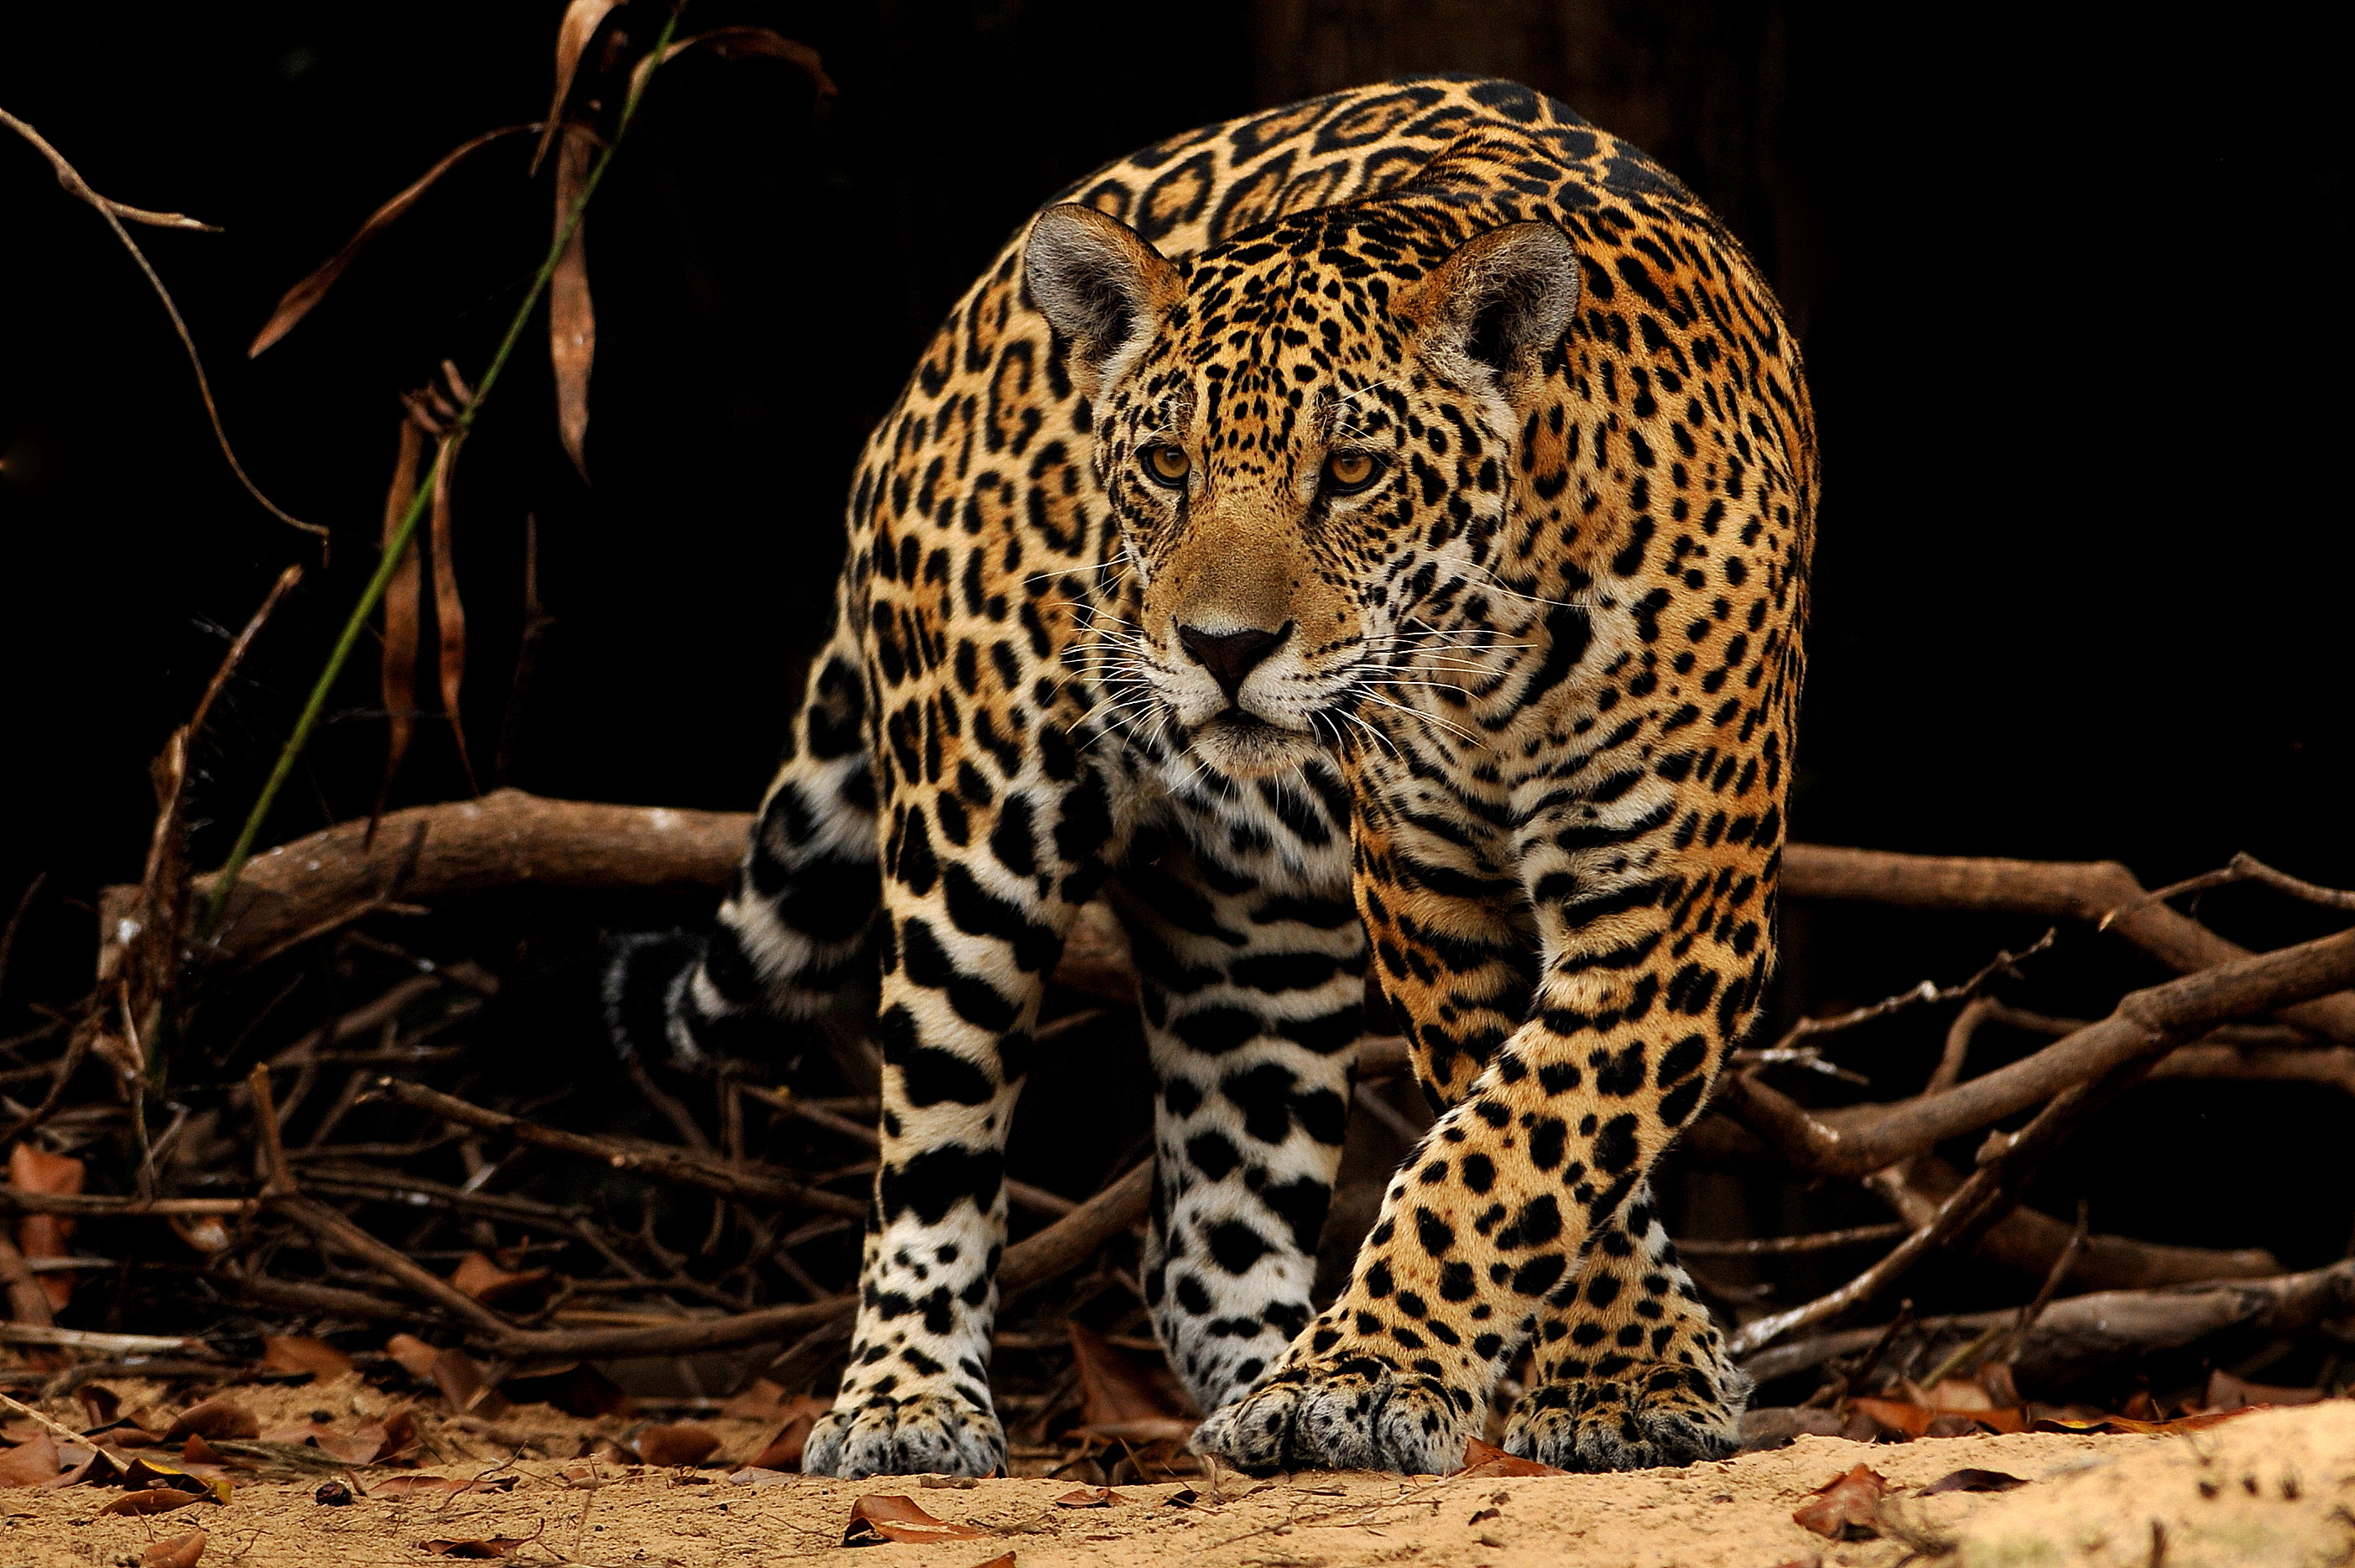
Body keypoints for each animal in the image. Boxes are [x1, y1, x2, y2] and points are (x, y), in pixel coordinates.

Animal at [607, 74, 1814, 1480]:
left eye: (1350, 471)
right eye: (1165, 466)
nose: (1221, 649)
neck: (1491, 637)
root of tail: (947, 343)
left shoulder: (1674, 900)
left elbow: (1528, 1135)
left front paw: (1438, 1373)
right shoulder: (1425, 890)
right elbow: (1513, 1133)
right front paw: (1572, 1365)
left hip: (1256, 940)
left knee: (1199, 1242)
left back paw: (1262, 1383)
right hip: (971, 845)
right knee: (931, 1157)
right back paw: (907, 1403)